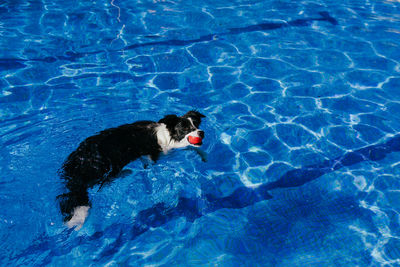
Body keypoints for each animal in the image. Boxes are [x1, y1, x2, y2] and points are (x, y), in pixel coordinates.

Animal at [57, 110, 205, 230]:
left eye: (197, 125)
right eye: (186, 128)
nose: (201, 132)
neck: (168, 136)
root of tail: (76, 163)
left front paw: (203, 156)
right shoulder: (152, 154)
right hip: (107, 165)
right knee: (105, 181)